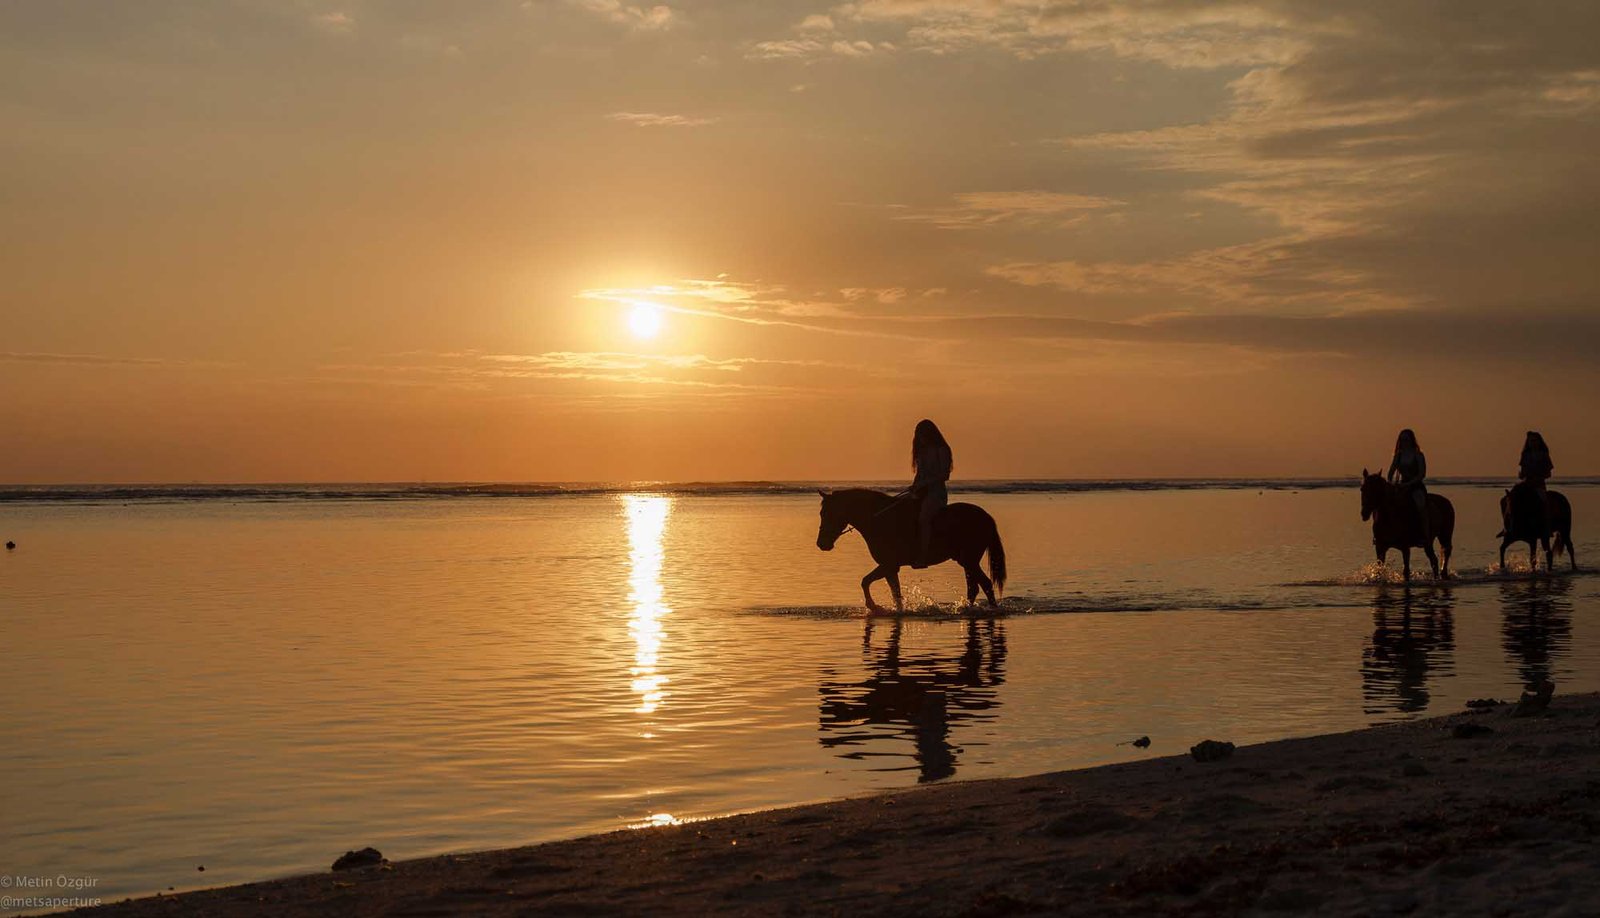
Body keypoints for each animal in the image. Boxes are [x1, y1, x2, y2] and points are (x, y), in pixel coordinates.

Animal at [819, 492, 1004, 614]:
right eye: (822, 513)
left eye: (828, 512)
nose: (821, 543)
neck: (879, 519)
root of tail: (986, 517)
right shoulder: (890, 568)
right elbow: (895, 592)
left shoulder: (888, 565)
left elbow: (865, 582)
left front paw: (874, 606)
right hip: (967, 562)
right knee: (974, 587)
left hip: (969, 561)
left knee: (985, 584)